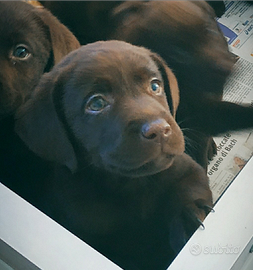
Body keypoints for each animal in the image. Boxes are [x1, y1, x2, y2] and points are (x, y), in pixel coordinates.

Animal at [15, 40, 213, 270]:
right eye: (96, 104)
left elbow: (191, 187)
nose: (159, 130)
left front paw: (188, 219)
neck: (132, 184)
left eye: (155, 86)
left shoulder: (186, 169)